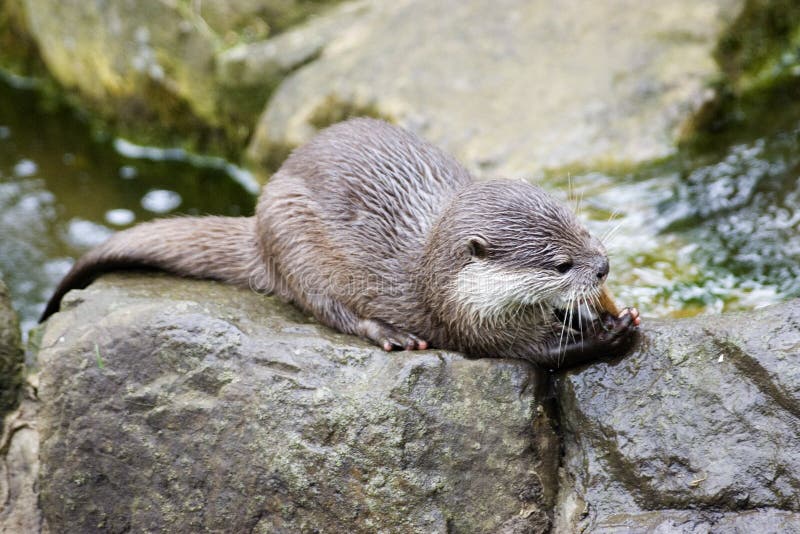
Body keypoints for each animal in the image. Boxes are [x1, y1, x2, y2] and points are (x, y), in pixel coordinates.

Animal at [41, 118, 639, 368]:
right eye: (561, 263)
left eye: (583, 227)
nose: (604, 266)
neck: (439, 275)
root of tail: (258, 226)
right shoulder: (474, 323)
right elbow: (541, 354)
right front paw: (610, 332)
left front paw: (608, 313)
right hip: (297, 243)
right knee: (328, 309)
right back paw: (391, 335)